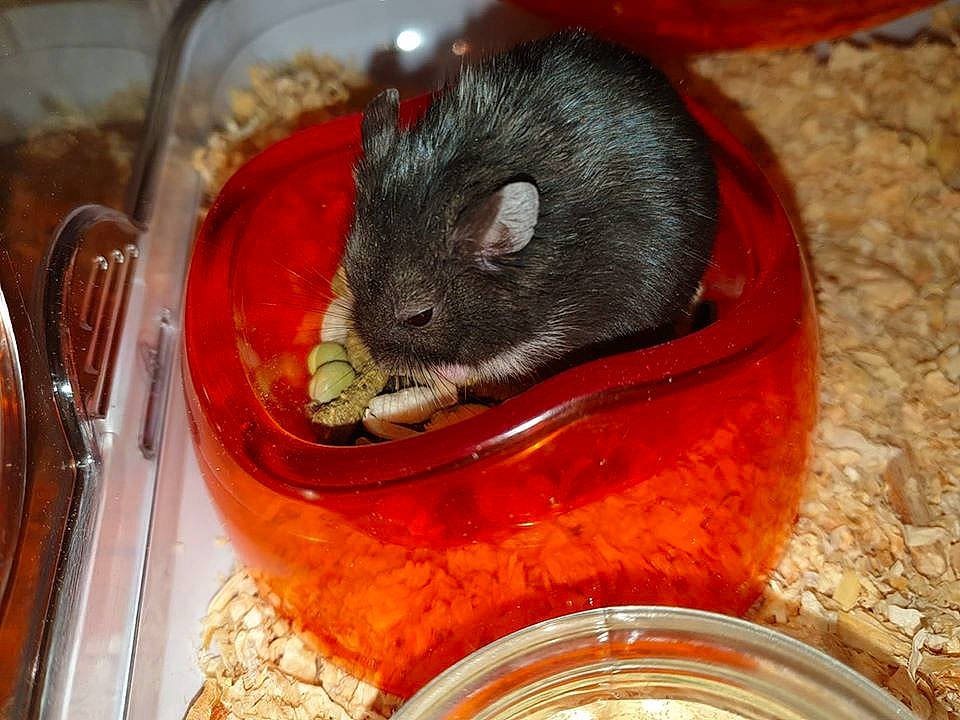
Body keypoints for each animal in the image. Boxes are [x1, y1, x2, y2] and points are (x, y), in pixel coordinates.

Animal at [342, 29, 718, 388]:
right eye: (349, 274)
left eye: (420, 317)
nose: (379, 362)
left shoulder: (553, 326)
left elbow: (505, 358)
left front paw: (447, 372)